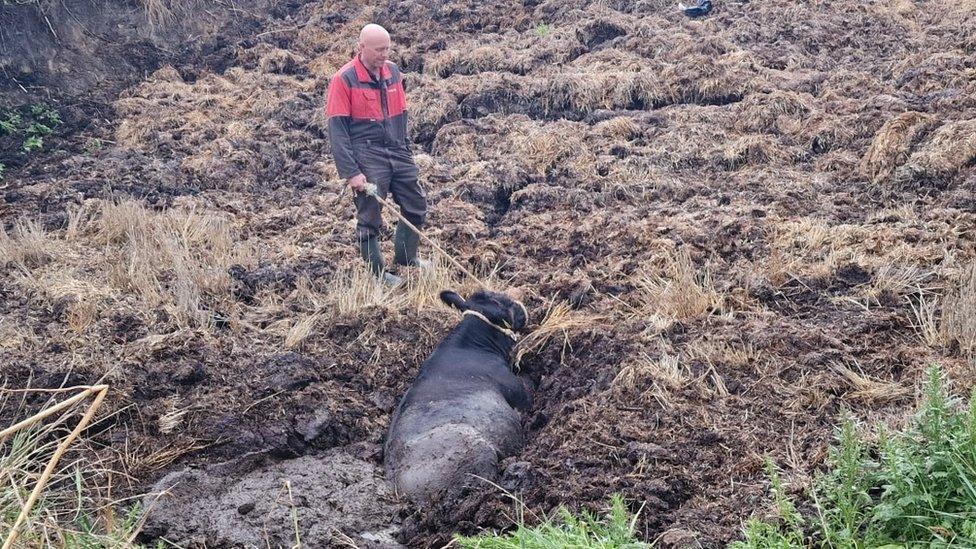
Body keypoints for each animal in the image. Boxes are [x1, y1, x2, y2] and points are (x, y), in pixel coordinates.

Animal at [384, 288, 532, 504]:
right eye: (500, 303)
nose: (522, 305)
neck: (471, 346)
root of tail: (400, 490)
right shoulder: (520, 393)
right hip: (477, 448)